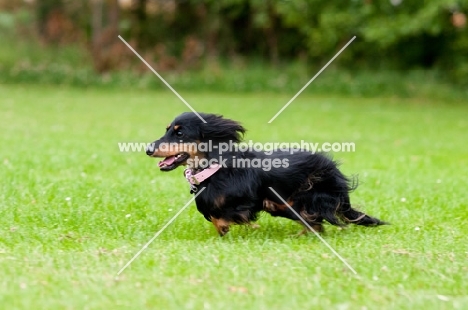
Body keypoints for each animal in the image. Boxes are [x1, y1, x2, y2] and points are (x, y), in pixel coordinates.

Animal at [147, 112, 388, 236]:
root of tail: (335, 171)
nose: (148, 149)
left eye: (179, 133)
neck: (216, 168)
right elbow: (214, 217)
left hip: (300, 200)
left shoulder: (247, 202)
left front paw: (243, 227)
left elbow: (222, 217)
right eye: (167, 130)